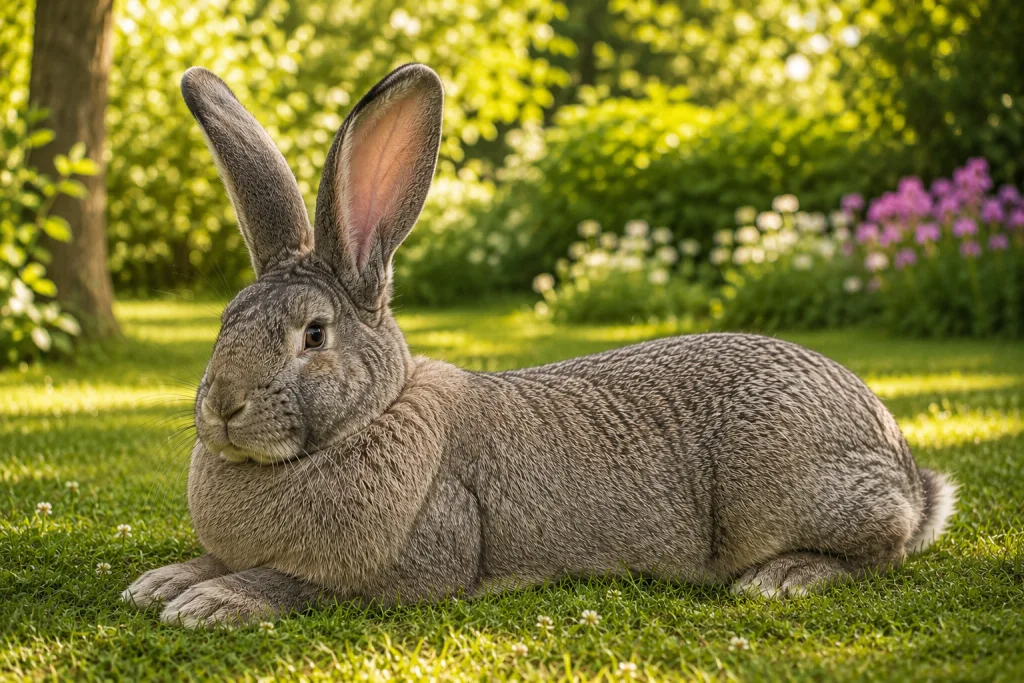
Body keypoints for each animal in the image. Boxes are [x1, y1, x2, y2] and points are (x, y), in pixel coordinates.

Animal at [122, 63, 958, 628]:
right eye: (228, 318)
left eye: (314, 334)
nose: (223, 406)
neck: (368, 417)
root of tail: (905, 468)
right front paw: (162, 581)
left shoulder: (402, 567)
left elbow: (299, 583)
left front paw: (210, 599)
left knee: (878, 547)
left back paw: (782, 578)